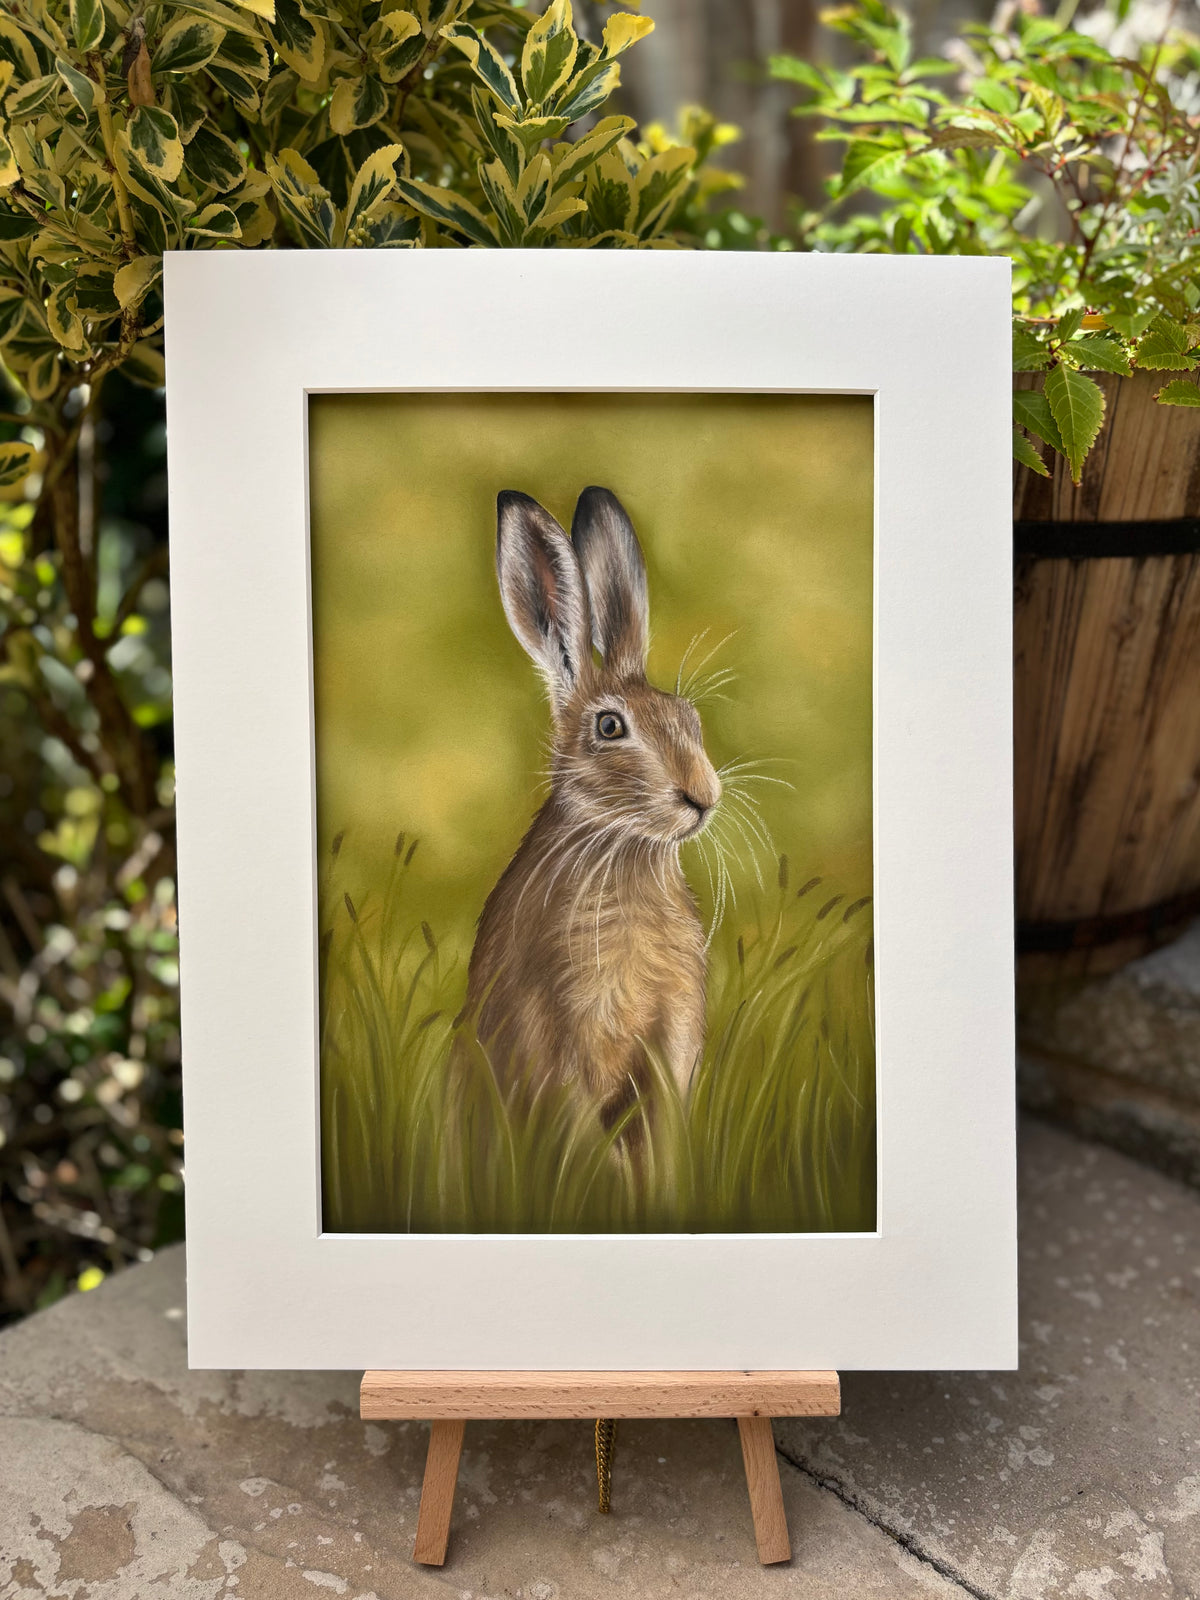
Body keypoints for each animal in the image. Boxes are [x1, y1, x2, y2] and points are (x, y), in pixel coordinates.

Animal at [465, 486, 722, 1134]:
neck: (624, 850)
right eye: (609, 728)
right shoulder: (562, 1045)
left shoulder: (671, 1047)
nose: (703, 796)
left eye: (689, 718)